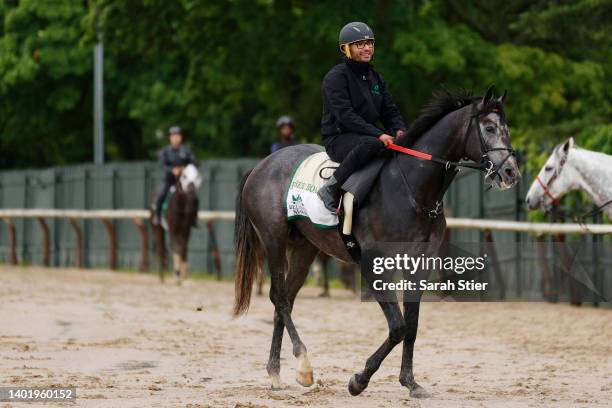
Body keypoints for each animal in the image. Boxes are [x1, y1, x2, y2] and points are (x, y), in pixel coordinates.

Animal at [232, 85, 520, 396]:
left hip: (303, 248)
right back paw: (304, 367)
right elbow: (398, 326)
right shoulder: (373, 264)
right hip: (273, 239)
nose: (511, 172)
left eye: (506, 128)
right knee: (280, 298)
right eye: (489, 128)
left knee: (284, 299)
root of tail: (262, 165)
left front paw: (410, 382)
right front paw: (359, 380)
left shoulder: (419, 264)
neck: (411, 188)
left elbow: (411, 324)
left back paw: (276, 373)